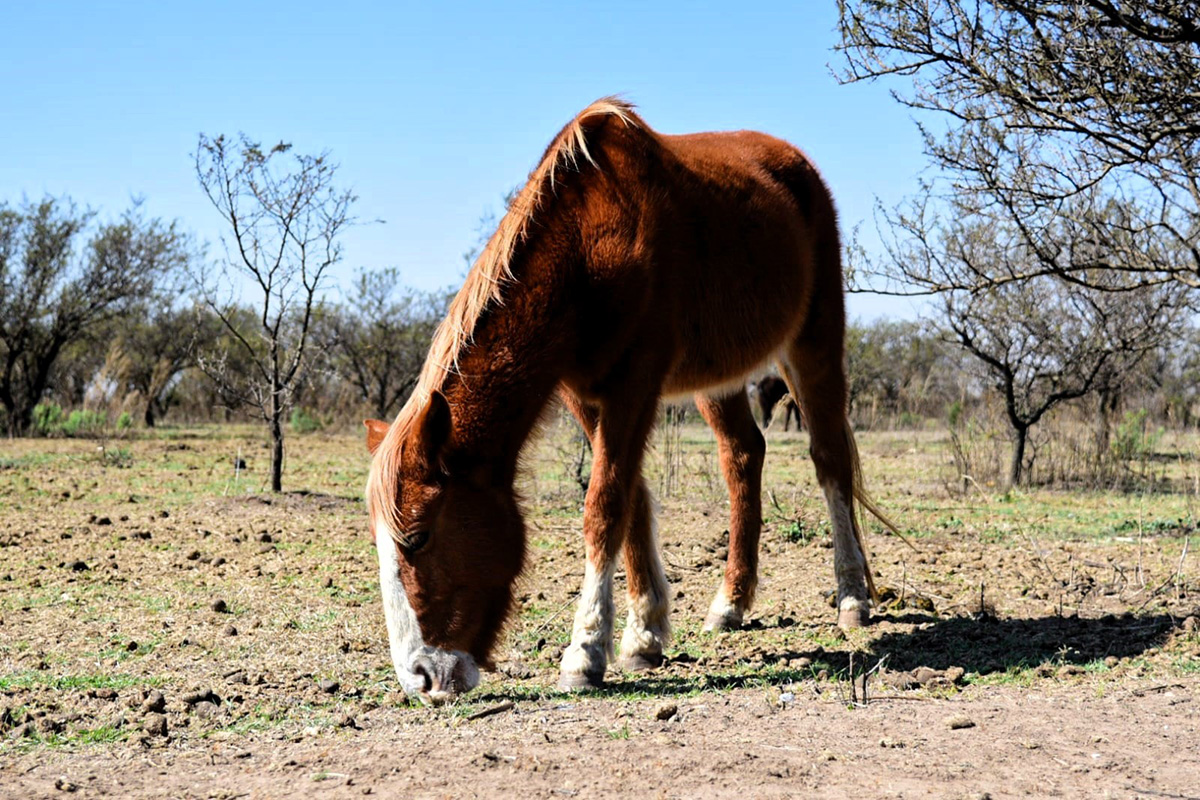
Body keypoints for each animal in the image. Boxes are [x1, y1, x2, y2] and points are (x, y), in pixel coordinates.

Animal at [364, 98, 894, 703]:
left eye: (418, 537)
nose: (419, 677)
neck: (585, 247)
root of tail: (795, 163)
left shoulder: (634, 383)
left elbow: (605, 505)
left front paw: (586, 651)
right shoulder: (583, 395)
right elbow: (633, 498)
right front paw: (644, 634)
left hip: (813, 344)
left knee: (830, 460)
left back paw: (852, 597)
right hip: (718, 378)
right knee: (743, 456)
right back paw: (730, 603)